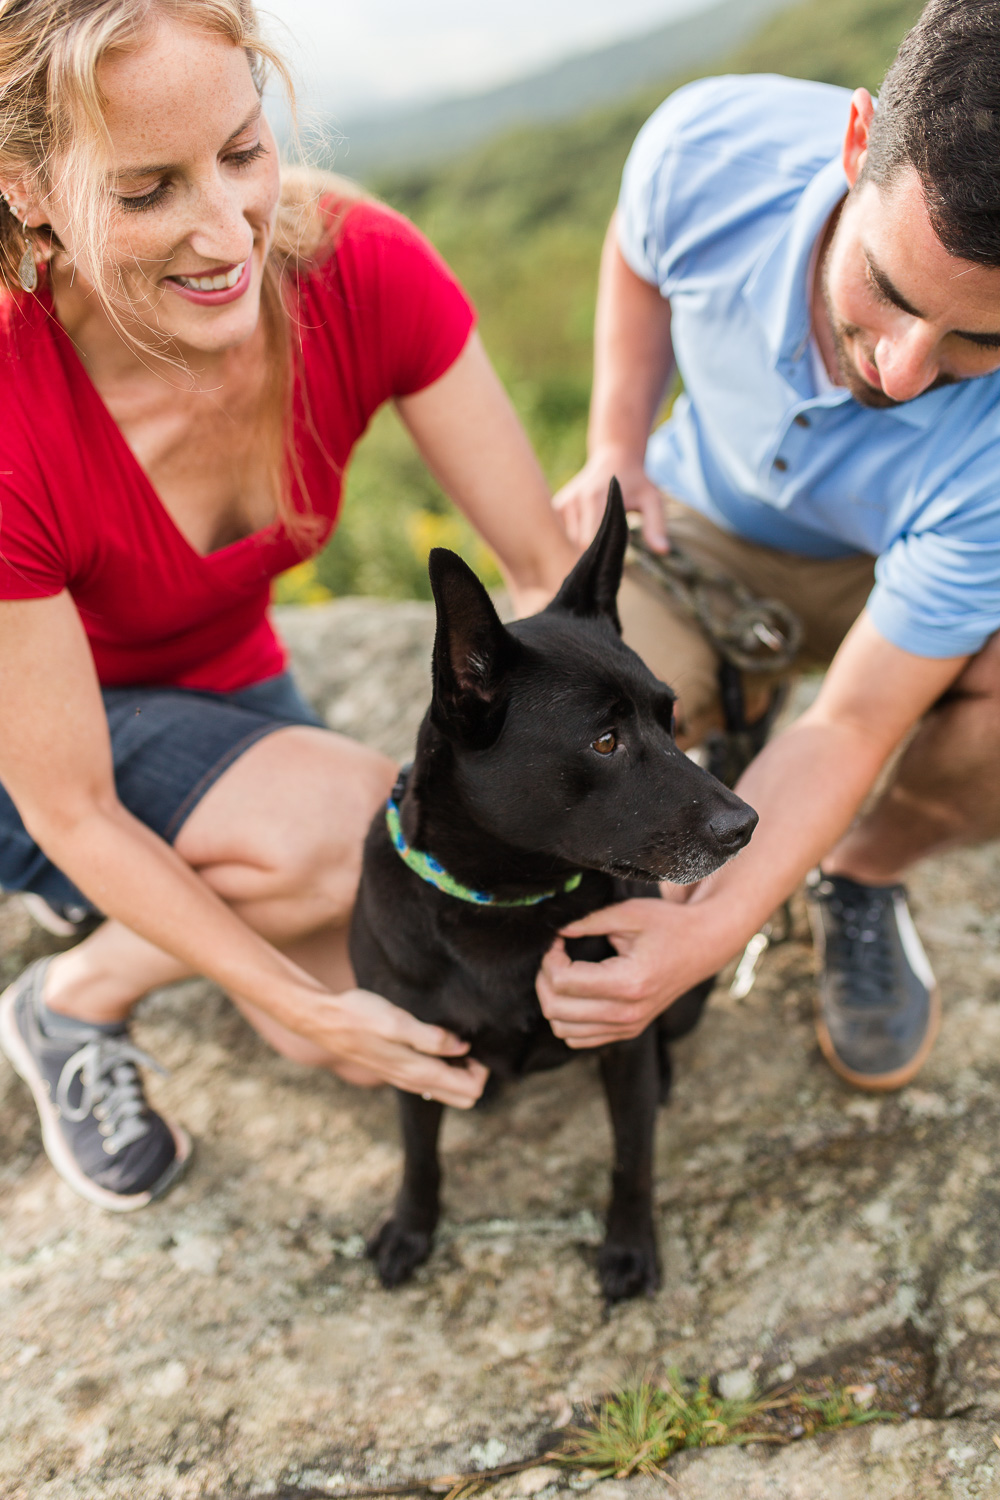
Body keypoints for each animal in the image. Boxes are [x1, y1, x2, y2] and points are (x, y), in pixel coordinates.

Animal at [352, 483, 758, 1302]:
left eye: (670, 716)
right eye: (604, 742)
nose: (747, 825)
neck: (508, 902)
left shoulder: (622, 1033)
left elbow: (632, 1156)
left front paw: (629, 1247)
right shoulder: (409, 1045)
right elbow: (419, 1154)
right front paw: (411, 1228)